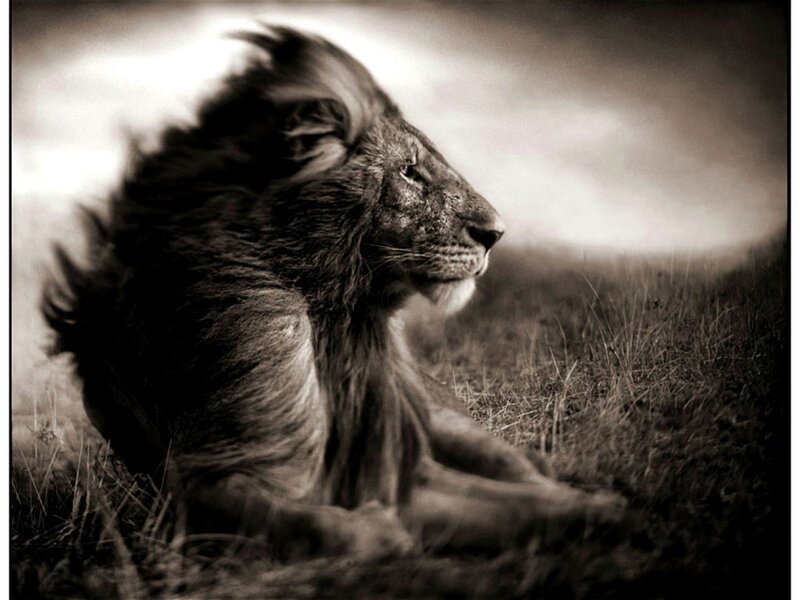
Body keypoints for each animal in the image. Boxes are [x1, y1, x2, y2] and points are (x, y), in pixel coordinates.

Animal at [43, 26, 625, 559]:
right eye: (410, 173)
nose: (496, 234)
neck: (335, 316)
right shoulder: (203, 482)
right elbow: (304, 522)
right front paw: (377, 532)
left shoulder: (400, 469)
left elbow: (523, 504)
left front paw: (606, 509)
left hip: (445, 421)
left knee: (515, 463)